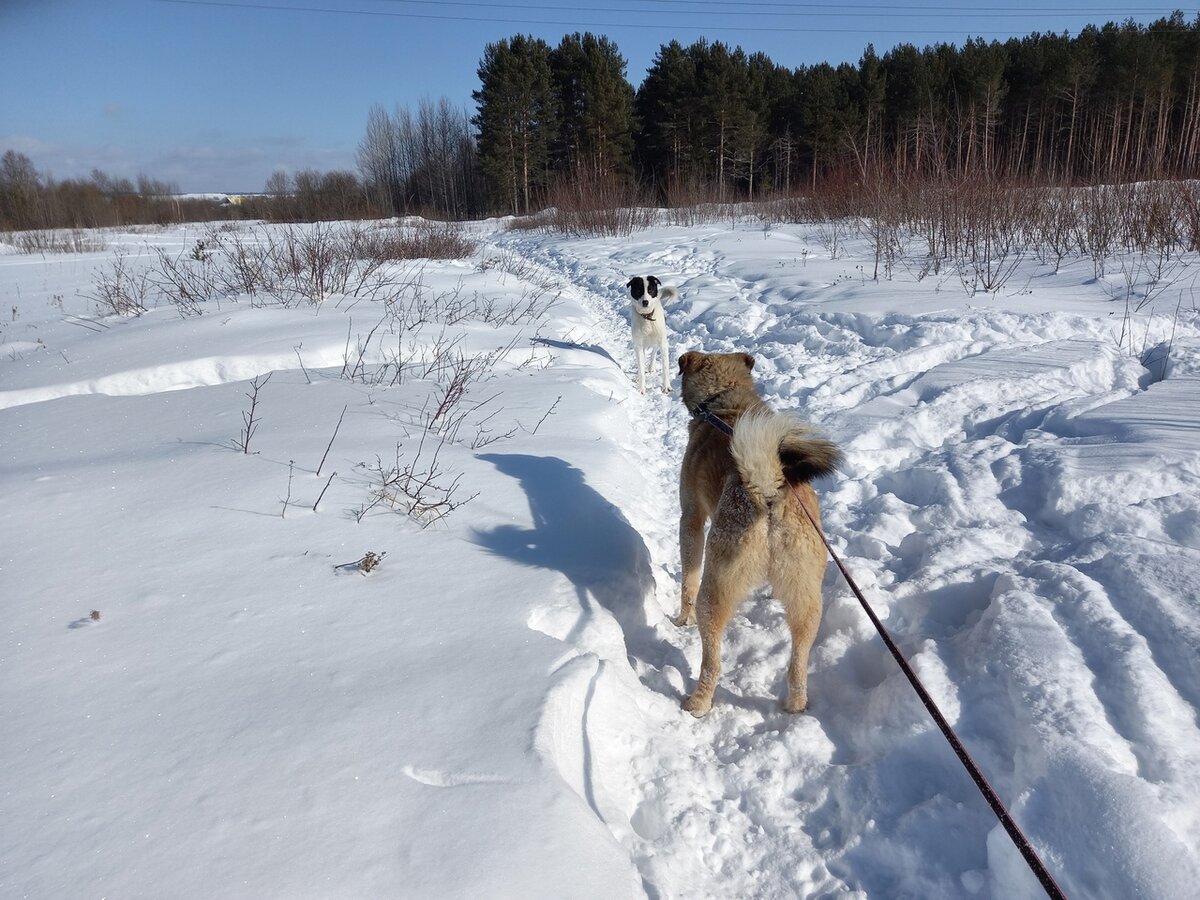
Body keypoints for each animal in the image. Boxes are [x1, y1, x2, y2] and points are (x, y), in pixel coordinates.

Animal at [676, 352, 844, 720]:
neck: (724, 404)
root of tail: (768, 491)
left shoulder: (690, 518)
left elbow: (687, 580)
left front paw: (680, 619)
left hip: (716, 589)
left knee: (712, 661)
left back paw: (697, 703)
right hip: (807, 598)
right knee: (798, 662)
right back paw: (796, 705)